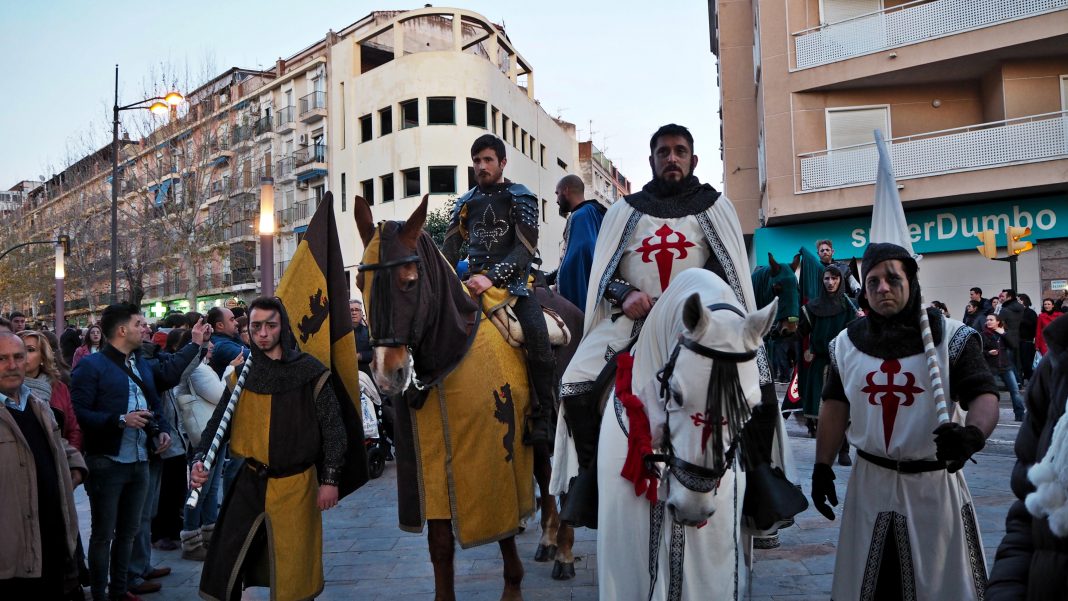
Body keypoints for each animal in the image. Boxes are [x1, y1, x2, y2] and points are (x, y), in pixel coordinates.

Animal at [354, 196, 580, 597]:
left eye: (409, 282)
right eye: (359, 281)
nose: (385, 372)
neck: (451, 351)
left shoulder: (493, 456)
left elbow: (503, 530)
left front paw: (512, 587)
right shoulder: (427, 467)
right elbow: (441, 545)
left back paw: (565, 552)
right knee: (545, 473)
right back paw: (550, 540)